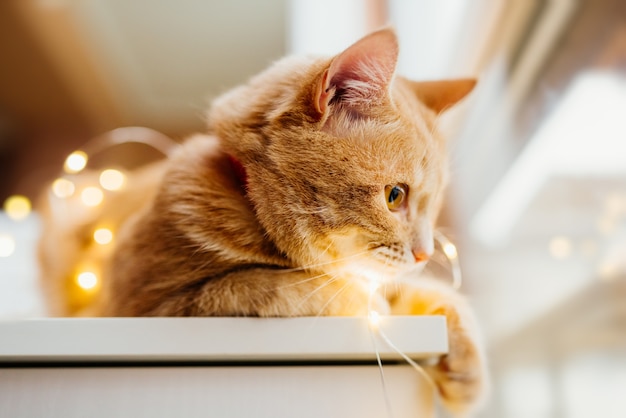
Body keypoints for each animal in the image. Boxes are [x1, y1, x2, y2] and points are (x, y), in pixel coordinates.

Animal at [39, 29, 486, 414]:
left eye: (432, 204)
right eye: (395, 196)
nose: (424, 253)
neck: (244, 196)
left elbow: (419, 293)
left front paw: (466, 357)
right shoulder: (147, 306)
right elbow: (267, 284)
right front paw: (354, 297)